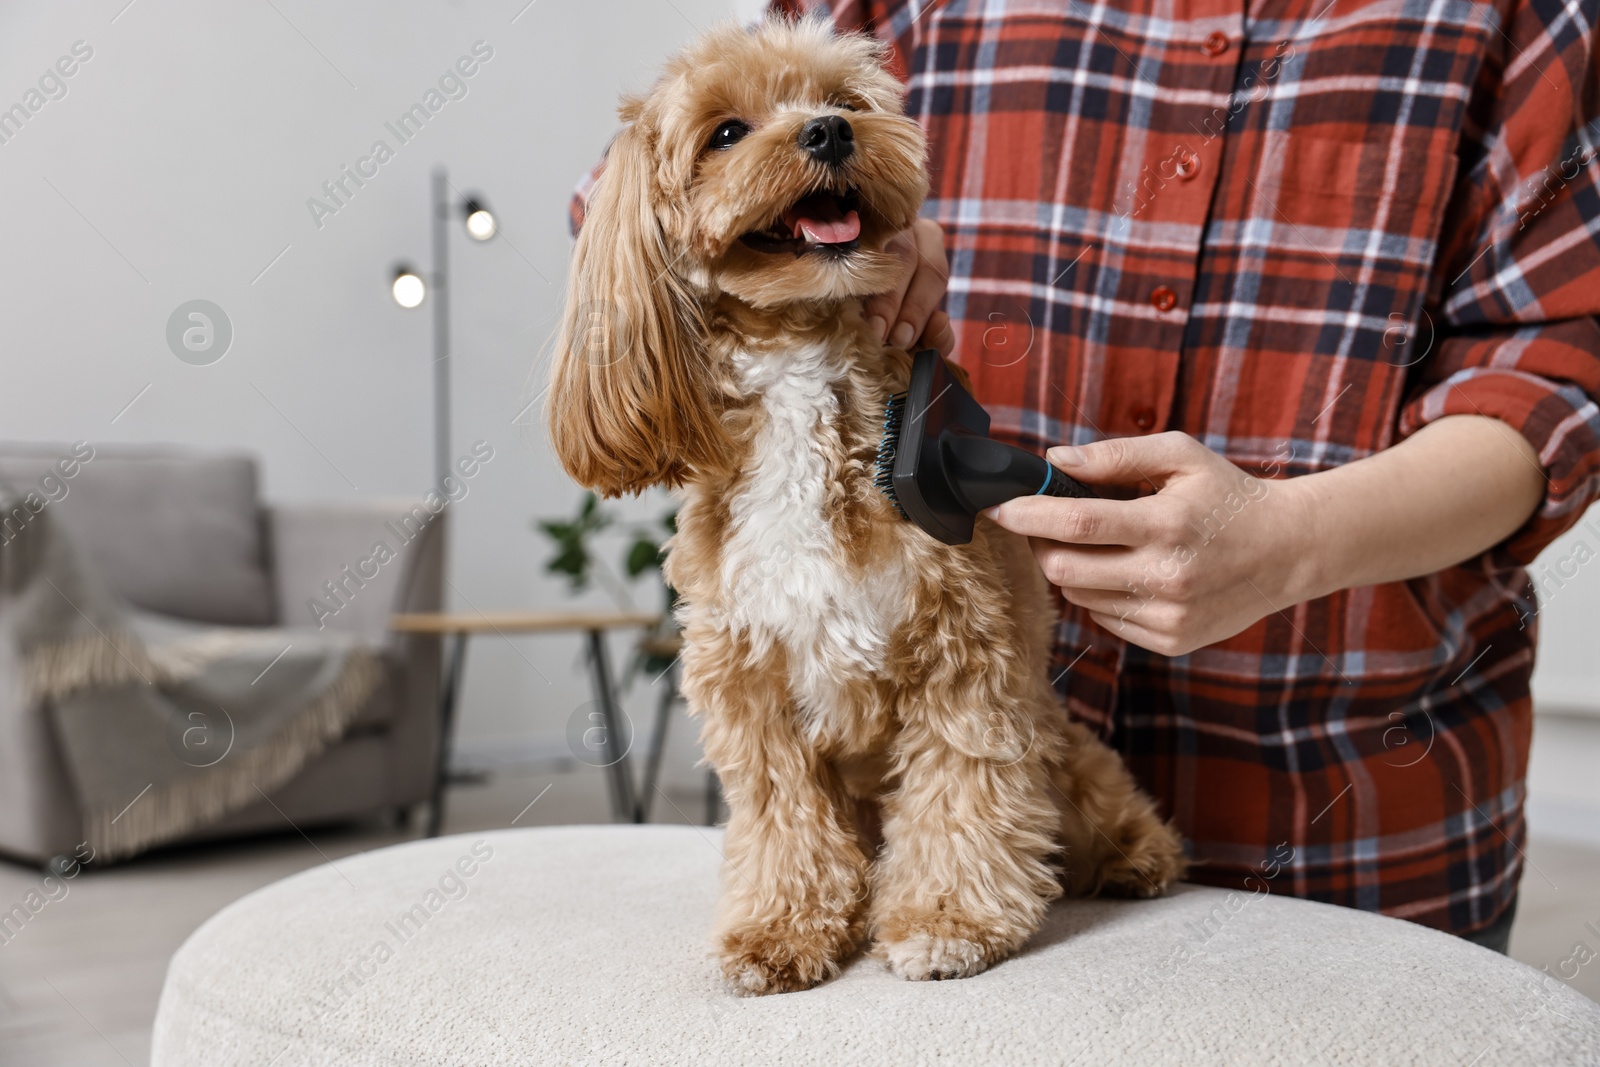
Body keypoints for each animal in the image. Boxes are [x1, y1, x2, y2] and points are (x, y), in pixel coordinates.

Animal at [550, 16, 1190, 998]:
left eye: (843, 100)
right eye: (725, 132)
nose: (828, 132)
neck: (803, 381)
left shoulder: (965, 656)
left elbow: (961, 792)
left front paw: (949, 920)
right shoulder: (748, 684)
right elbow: (782, 819)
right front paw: (779, 929)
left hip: (1061, 744)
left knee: (1088, 800)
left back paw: (1137, 856)